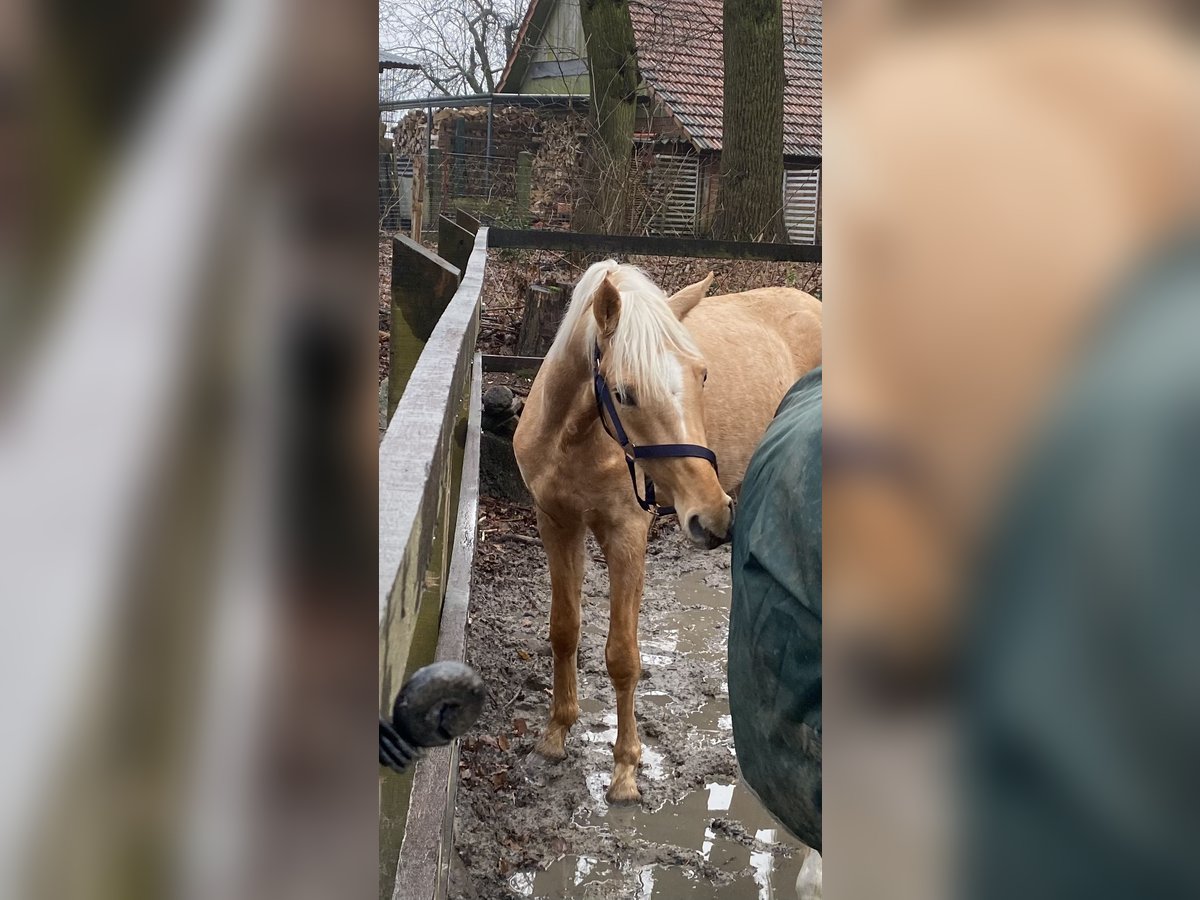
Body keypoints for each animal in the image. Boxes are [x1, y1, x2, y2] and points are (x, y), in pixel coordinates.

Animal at [516, 260, 825, 801]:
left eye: (702, 375)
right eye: (624, 393)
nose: (713, 515)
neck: (572, 439)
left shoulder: (626, 536)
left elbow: (622, 656)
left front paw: (624, 770)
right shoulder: (556, 523)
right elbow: (564, 630)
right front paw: (555, 733)